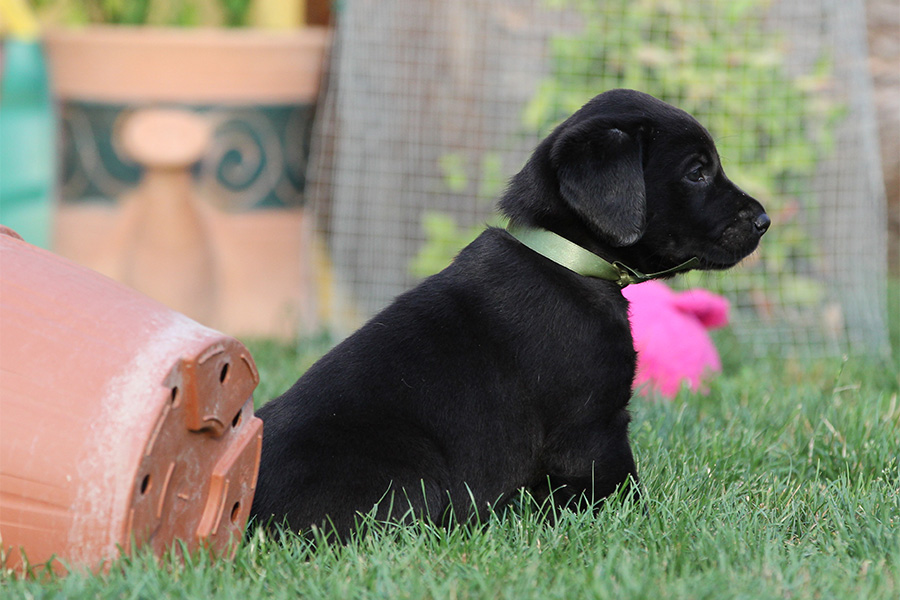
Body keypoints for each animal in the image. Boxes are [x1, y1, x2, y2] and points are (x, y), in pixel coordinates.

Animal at [250, 89, 769, 538]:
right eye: (697, 172)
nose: (764, 220)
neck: (565, 255)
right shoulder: (592, 426)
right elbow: (618, 484)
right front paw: (646, 521)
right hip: (413, 476)